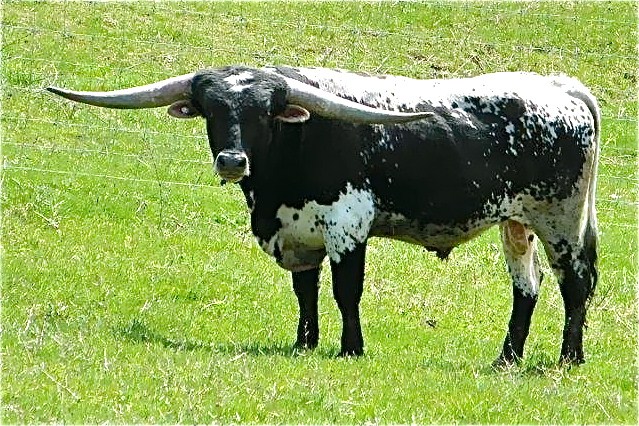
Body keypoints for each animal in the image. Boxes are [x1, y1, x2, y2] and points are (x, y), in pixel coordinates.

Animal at [47, 65, 600, 365]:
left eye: (264, 113)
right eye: (213, 110)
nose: (232, 161)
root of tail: (562, 88)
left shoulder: (347, 227)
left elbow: (345, 292)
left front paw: (351, 349)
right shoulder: (299, 237)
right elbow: (305, 293)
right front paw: (304, 344)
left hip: (561, 219)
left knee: (576, 283)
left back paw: (569, 358)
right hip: (517, 222)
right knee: (526, 287)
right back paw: (507, 358)